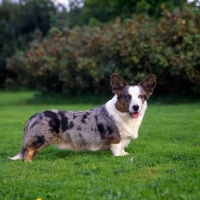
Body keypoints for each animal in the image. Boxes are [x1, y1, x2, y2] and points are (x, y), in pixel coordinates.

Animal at [9, 73, 156, 161]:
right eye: (127, 97)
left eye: (140, 97)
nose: (136, 107)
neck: (123, 114)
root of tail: (33, 117)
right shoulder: (115, 137)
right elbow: (117, 147)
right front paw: (119, 156)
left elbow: (123, 148)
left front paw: (124, 154)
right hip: (41, 138)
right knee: (28, 151)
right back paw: (29, 163)